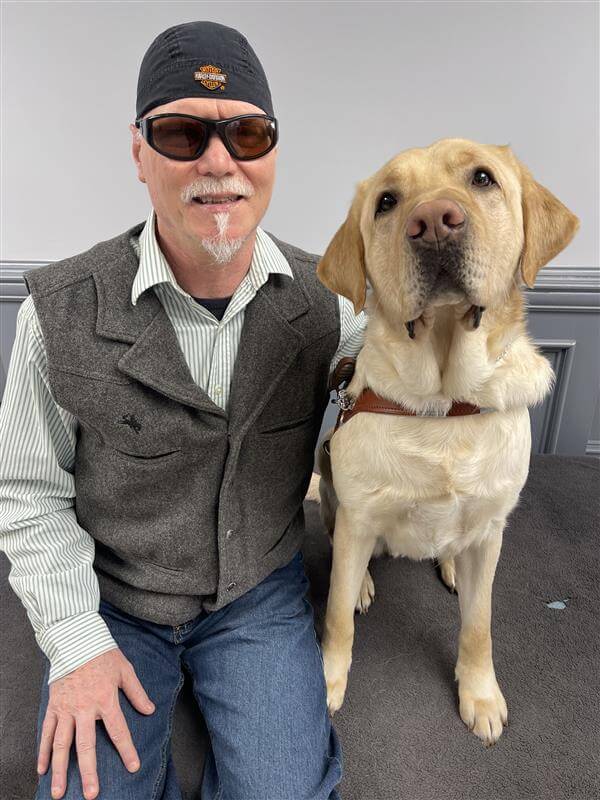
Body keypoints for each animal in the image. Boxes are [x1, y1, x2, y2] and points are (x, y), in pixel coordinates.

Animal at [314, 138, 580, 744]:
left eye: (482, 178)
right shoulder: (359, 518)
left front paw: (479, 694)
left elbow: (479, 625)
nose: (434, 221)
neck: (444, 404)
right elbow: (336, 615)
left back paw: (453, 565)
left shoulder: (491, 528)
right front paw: (327, 680)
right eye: (387, 202)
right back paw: (363, 581)